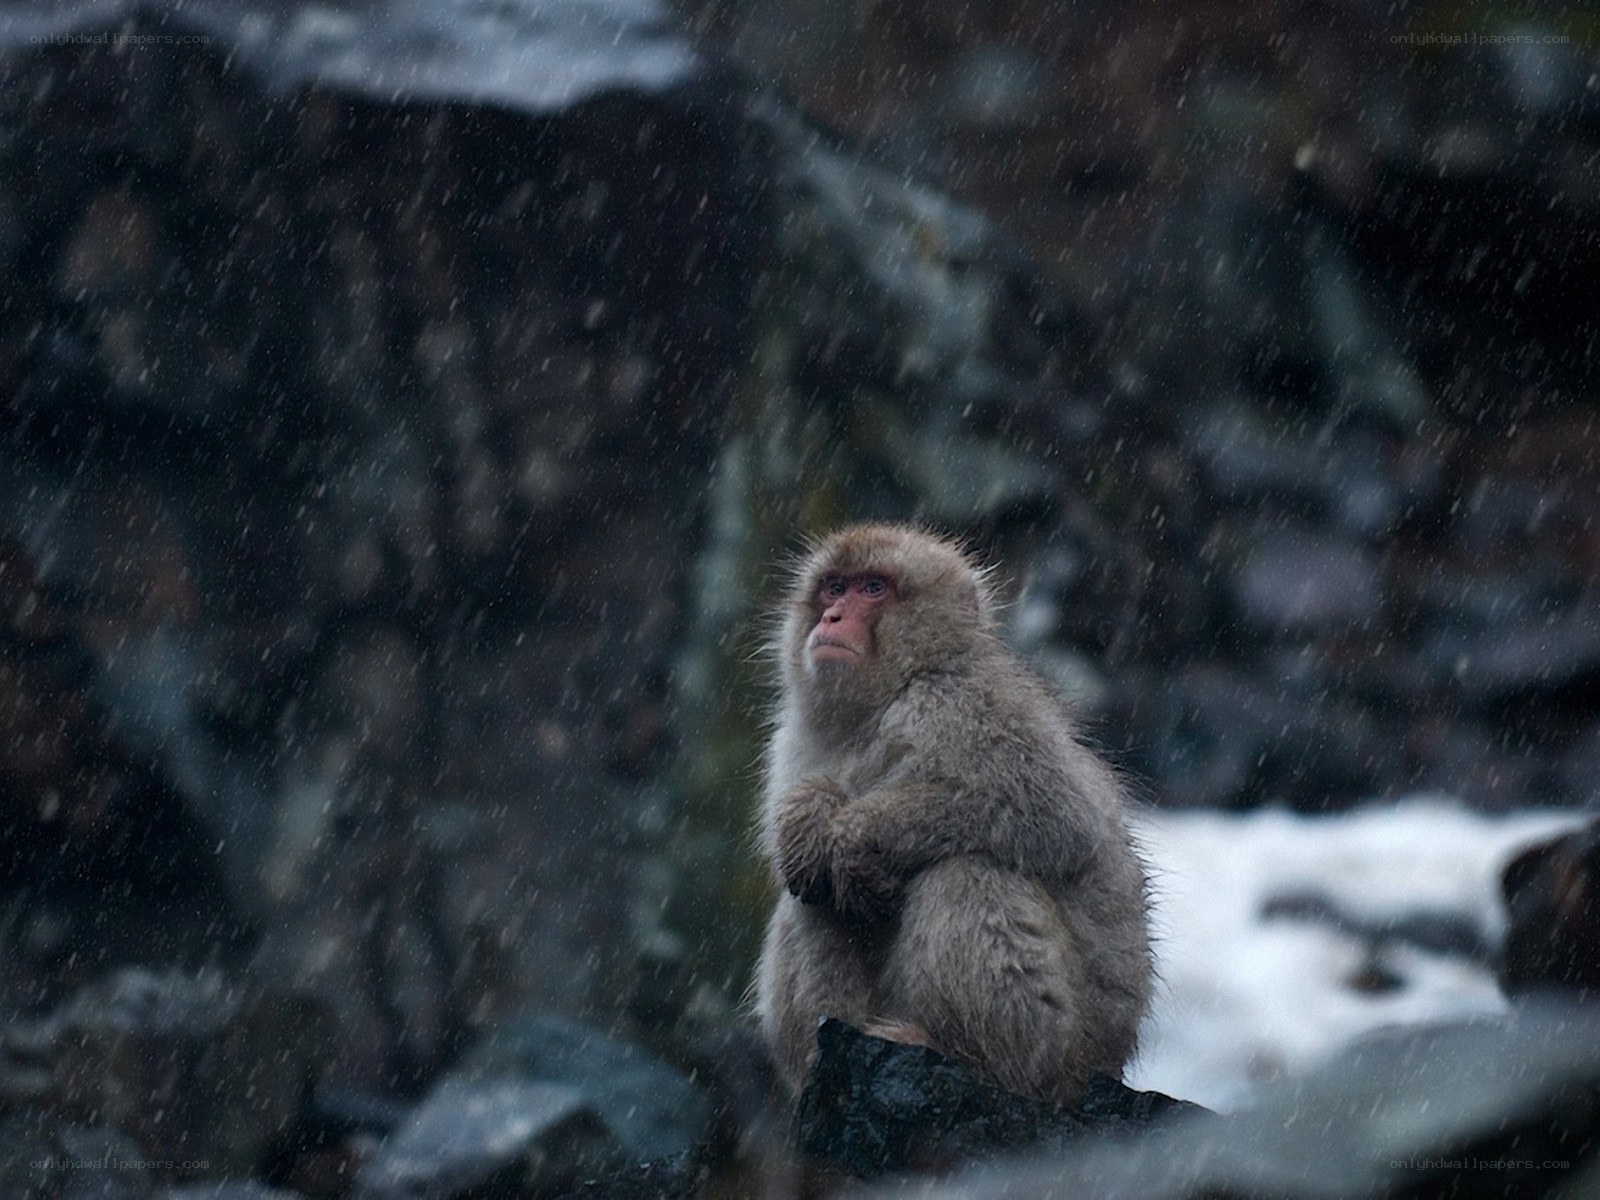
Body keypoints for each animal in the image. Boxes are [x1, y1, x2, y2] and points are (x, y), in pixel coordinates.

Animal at [753, 523, 1152, 1107]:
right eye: (834, 588)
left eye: (874, 588)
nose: (832, 618)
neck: (885, 699)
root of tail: (1109, 1064)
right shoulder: (795, 740)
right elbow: (804, 847)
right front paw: (809, 818)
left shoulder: (959, 703)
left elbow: (1058, 817)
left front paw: (855, 834)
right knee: (810, 896)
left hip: (1067, 1047)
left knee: (968, 872)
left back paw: (968, 1055)